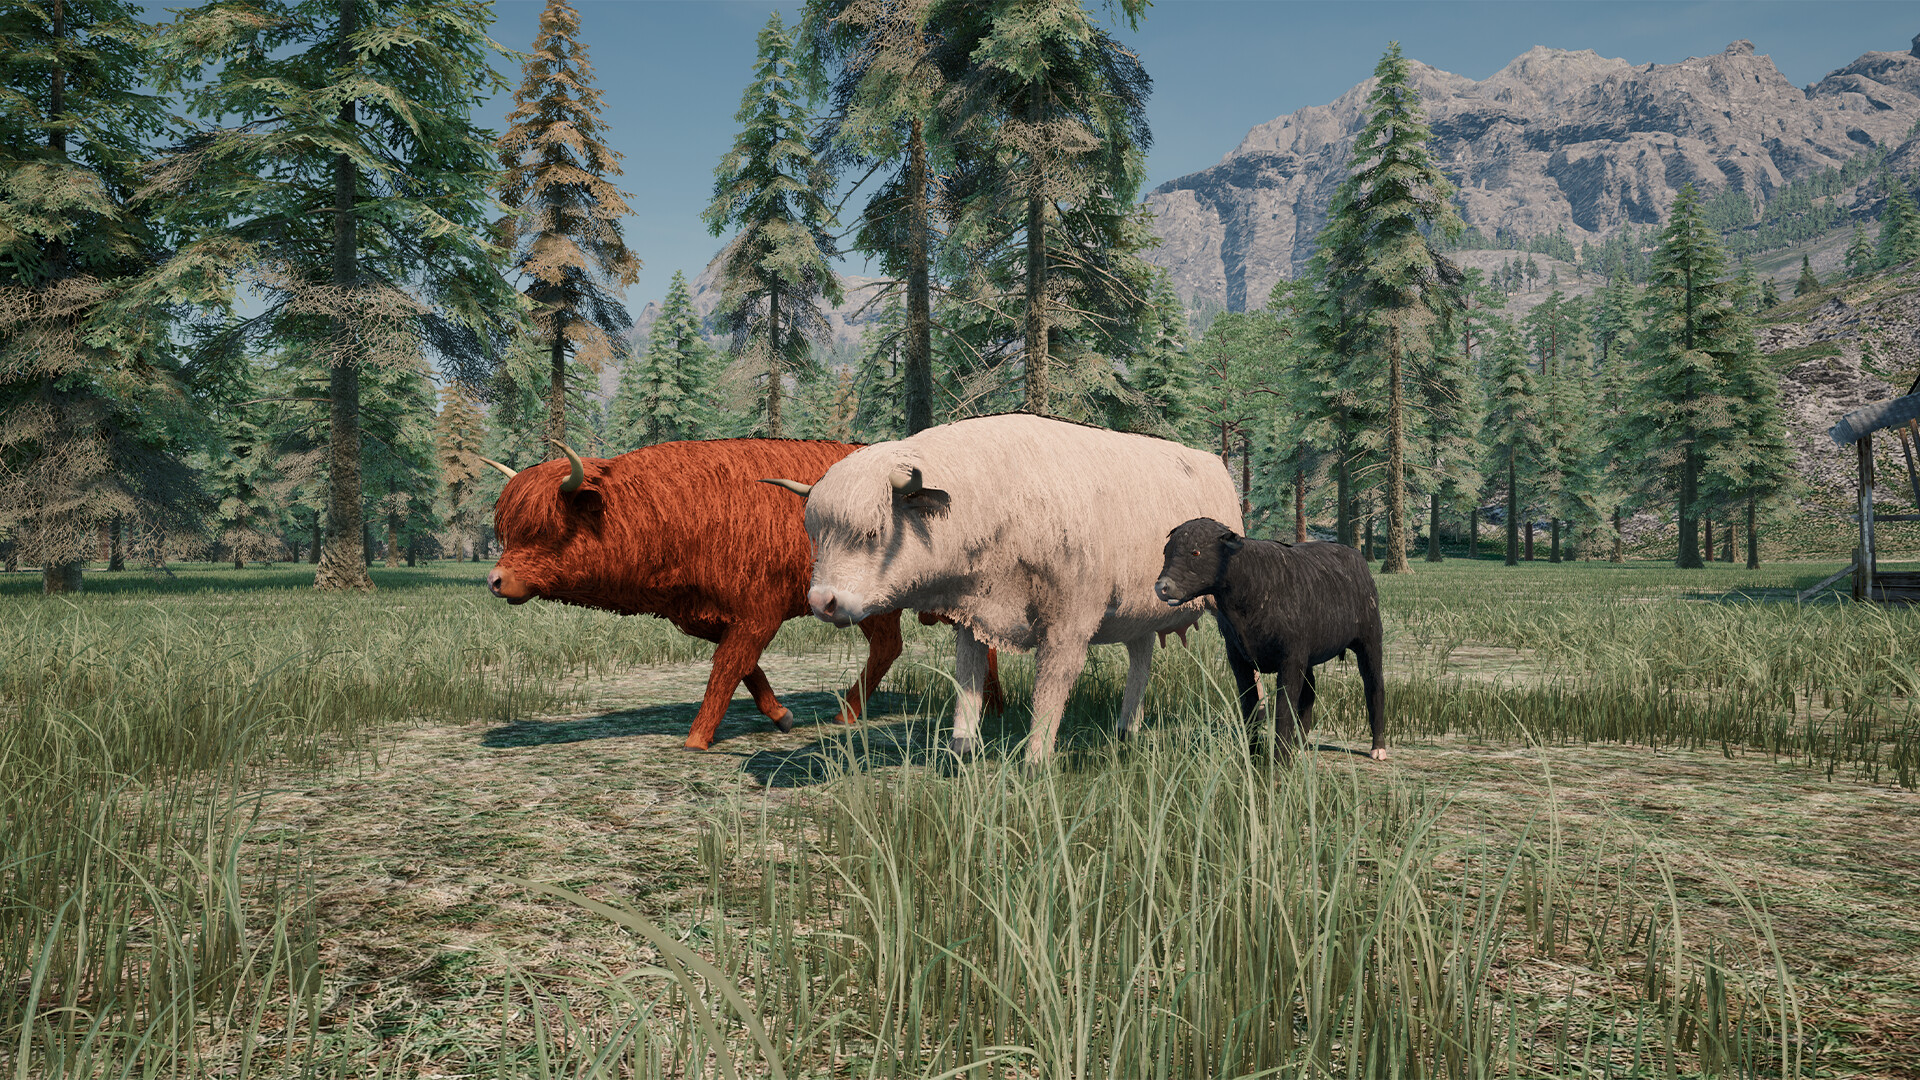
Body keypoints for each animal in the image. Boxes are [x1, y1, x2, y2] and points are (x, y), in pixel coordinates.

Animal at [484, 438, 907, 751]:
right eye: (508, 531)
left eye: (545, 530)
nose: (495, 580)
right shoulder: (704, 616)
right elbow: (742, 667)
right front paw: (781, 715)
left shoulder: (757, 615)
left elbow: (727, 667)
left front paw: (696, 739)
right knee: (887, 647)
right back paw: (845, 712)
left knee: (887, 647)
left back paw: (847, 713)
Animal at [766, 413, 1243, 767]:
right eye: (815, 535)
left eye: (872, 532)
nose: (822, 602)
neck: (1001, 500)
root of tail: (1216, 467)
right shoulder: (974, 618)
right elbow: (967, 678)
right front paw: (961, 749)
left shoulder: (1068, 626)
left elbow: (1050, 688)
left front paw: (1035, 760)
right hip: (1136, 613)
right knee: (1140, 658)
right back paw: (1128, 729)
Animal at [1153, 517, 1386, 761]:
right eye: (1166, 552)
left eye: (1196, 552)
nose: (1162, 587)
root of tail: (1355, 555)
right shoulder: (1239, 658)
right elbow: (1250, 706)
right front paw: (1252, 754)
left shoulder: (1290, 660)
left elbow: (1284, 709)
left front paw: (1280, 760)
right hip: (1309, 656)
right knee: (1310, 692)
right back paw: (1300, 744)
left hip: (1370, 641)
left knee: (1374, 685)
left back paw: (1378, 748)